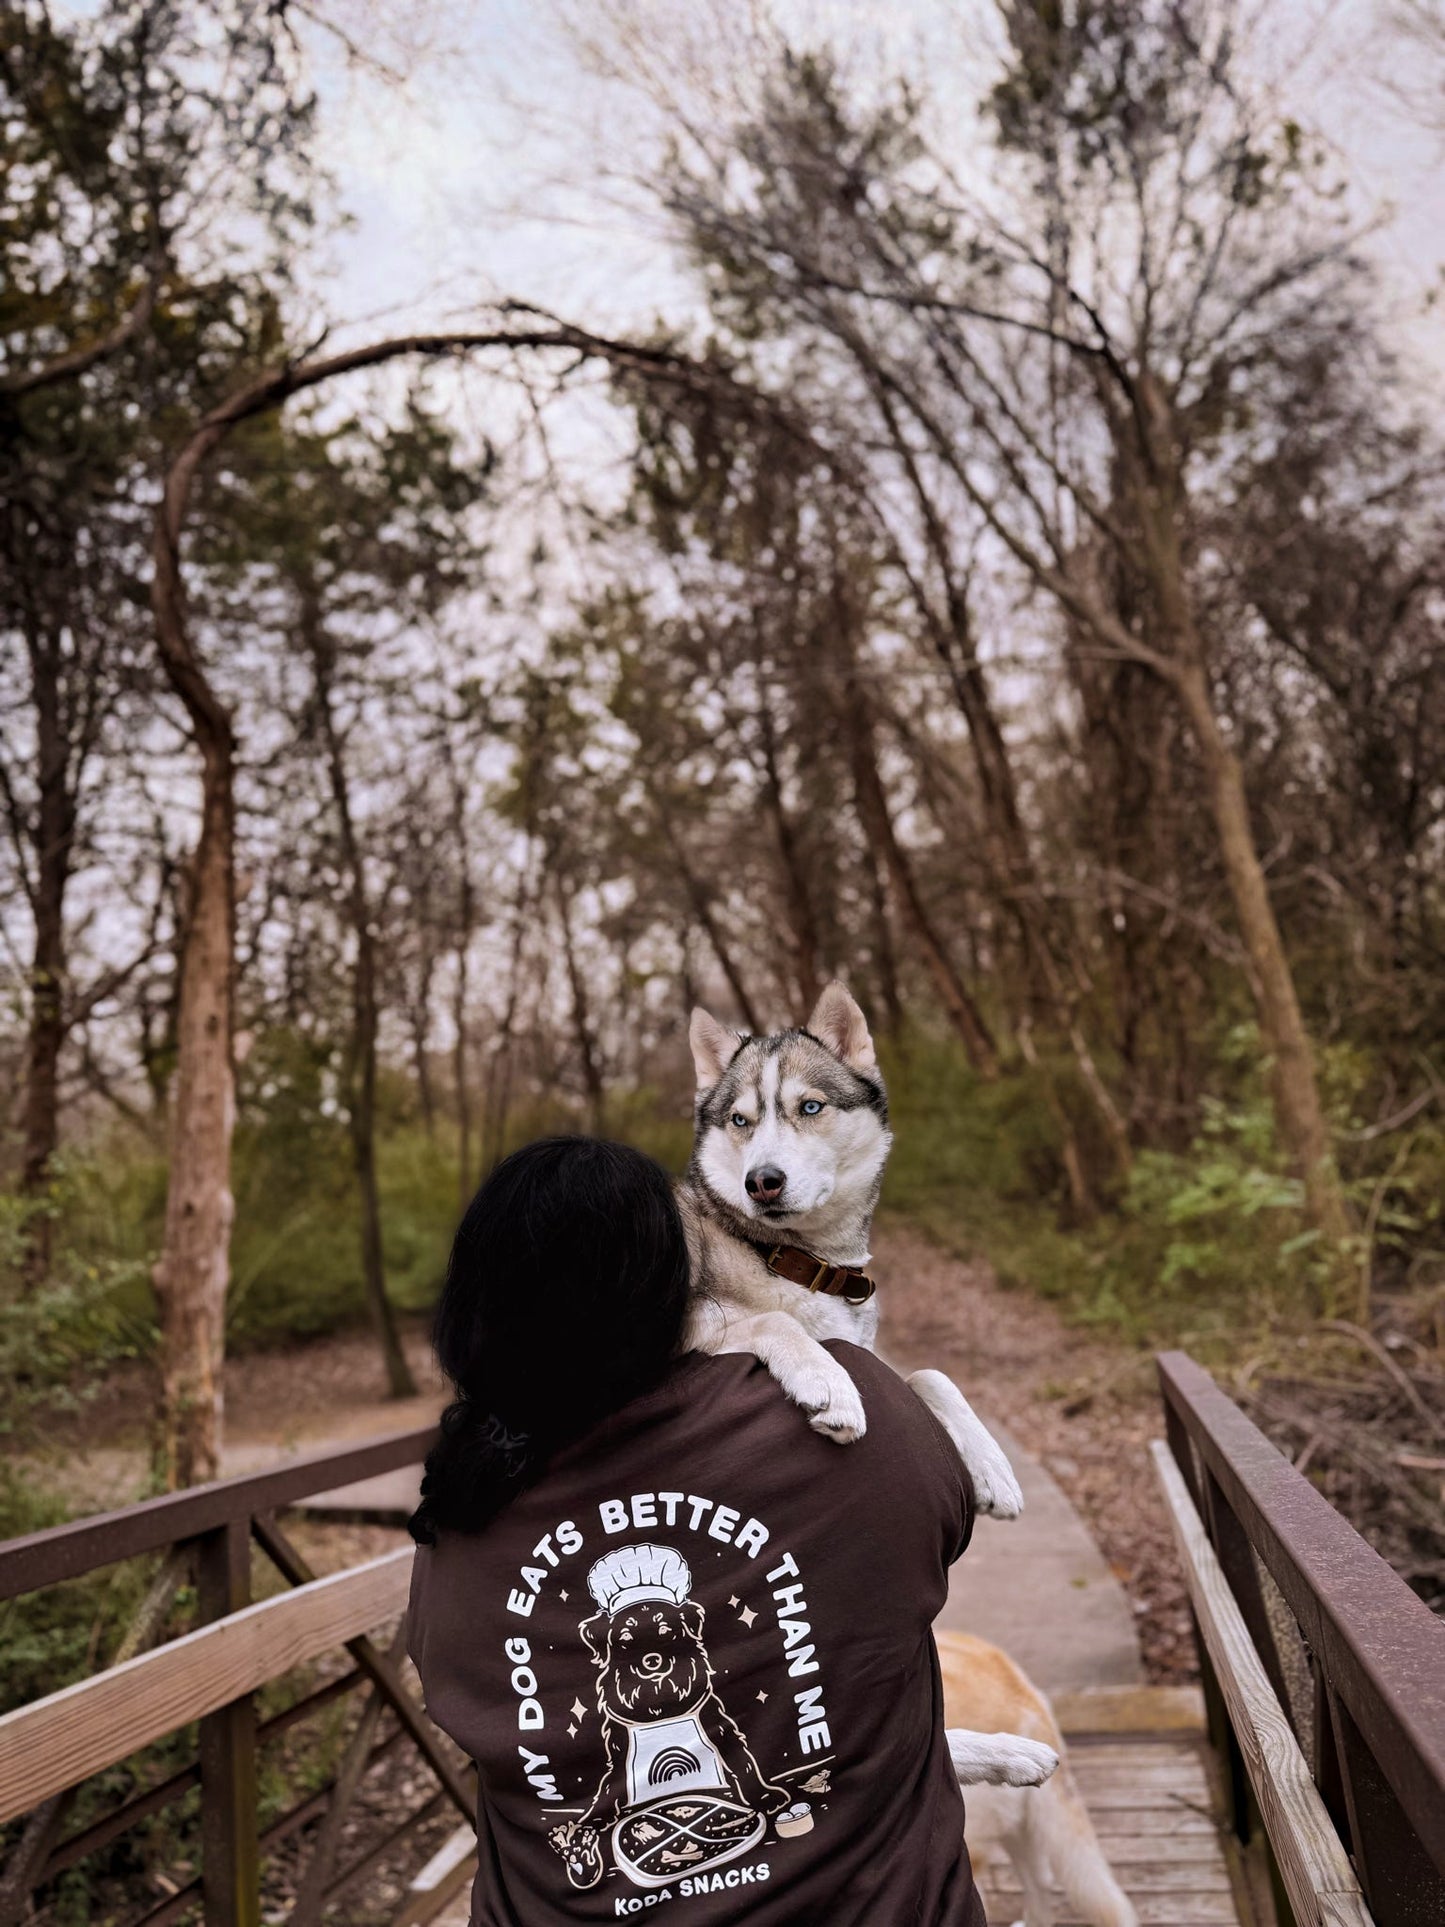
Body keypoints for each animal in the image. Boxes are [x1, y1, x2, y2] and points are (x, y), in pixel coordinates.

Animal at [685, 978, 1024, 1518]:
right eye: (740, 1120)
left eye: (810, 1107)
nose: (761, 1182)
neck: (804, 1263)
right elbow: (773, 1318)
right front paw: (826, 1379)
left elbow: (930, 1373)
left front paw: (992, 1464)